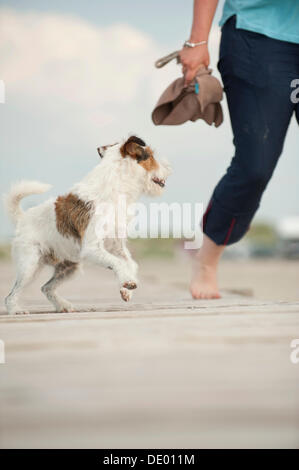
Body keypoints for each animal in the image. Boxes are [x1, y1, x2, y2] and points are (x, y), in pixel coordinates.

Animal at [4, 136, 171, 316]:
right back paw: (16, 310)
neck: (116, 187)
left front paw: (127, 288)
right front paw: (127, 282)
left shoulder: (117, 246)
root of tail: (22, 218)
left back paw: (63, 306)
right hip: (30, 266)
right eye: (151, 156)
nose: (169, 170)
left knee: (46, 288)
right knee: (11, 295)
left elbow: (131, 263)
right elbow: (117, 262)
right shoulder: (93, 248)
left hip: (69, 269)